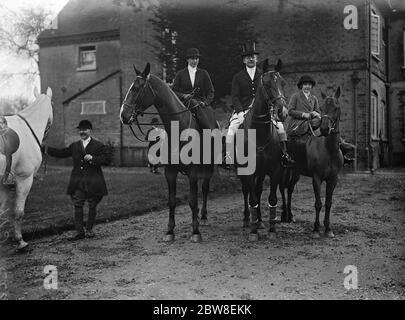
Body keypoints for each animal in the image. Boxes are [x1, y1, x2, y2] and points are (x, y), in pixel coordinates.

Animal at [119, 62, 218, 242]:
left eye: (137, 88)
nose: (123, 115)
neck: (179, 128)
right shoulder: (170, 172)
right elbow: (171, 201)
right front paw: (170, 231)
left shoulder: (193, 172)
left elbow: (193, 200)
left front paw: (195, 231)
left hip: (209, 166)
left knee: (205, 188)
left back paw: (203, 217)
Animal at [235, 59, 288, 240]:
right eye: (267, 83)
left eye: (282, 82)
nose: (282, 111)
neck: (259, 134)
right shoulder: (249, 171)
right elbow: (251, 199)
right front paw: (253, 232)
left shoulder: (275, 170)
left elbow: (272, 199)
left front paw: (272, 229)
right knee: (247, 192)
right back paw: (248, 221)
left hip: (262, 172)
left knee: (257, 191)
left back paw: (259, 221)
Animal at [280, 87, 342, 238]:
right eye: (322, 108)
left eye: (336, 107)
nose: (325, 129)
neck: (329, 150)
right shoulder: (316, 178)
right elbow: (318, 203)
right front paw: (315, 229)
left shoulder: (333, 179)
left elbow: (328, 203)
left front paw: (328, 229)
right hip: (283, 169)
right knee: (282, 188)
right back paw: (283, 215)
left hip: (295, 172)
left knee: (290, 189)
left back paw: (290, 216)